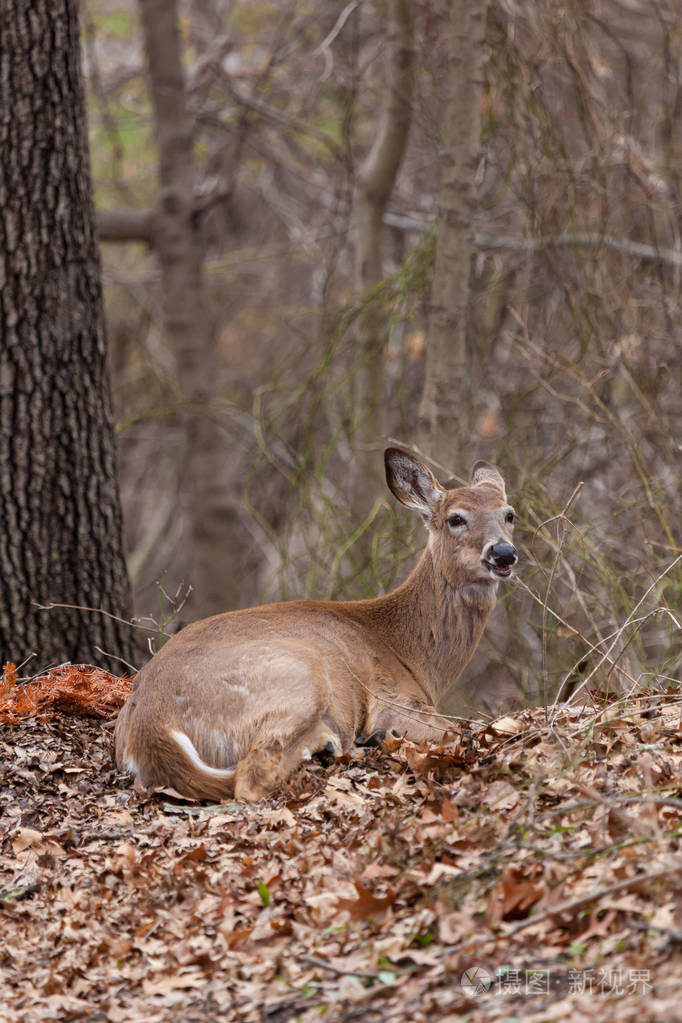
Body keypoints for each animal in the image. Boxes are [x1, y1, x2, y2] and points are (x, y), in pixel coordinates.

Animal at [114, 452, 517, 802]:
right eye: (456, 518)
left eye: (509, 514)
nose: (504, 553)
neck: (412, 655)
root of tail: (150, 724)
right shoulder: (394, 702)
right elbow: (466, 729)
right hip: (299, 669)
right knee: (251, 777)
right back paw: (337, 742)